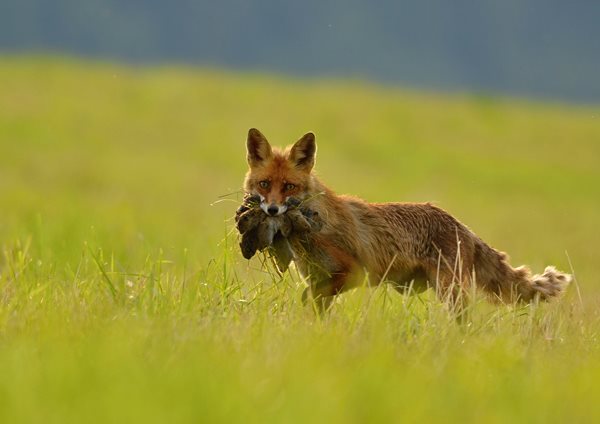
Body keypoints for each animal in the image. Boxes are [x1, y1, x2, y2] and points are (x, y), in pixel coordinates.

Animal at [243, 126, 572, 312]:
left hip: (451, 292)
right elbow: (311, 306)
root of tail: (461, 225)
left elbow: (308, 298)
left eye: (289, 187)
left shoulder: (352, 272)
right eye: (264, 184)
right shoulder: (319, 278)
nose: (272, 211)